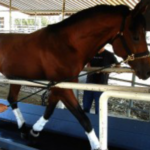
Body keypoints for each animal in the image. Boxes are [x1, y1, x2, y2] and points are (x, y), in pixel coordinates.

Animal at [0, 0, 150, 149]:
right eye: (136, 37)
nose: (147, 71)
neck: (66, 46)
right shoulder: (63, 88)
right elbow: (83, 118)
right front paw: (96, 145)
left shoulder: (59, 86)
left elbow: (49, 110)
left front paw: (34, 132)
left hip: (16, 78)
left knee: (12, 99)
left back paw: (23, 128)